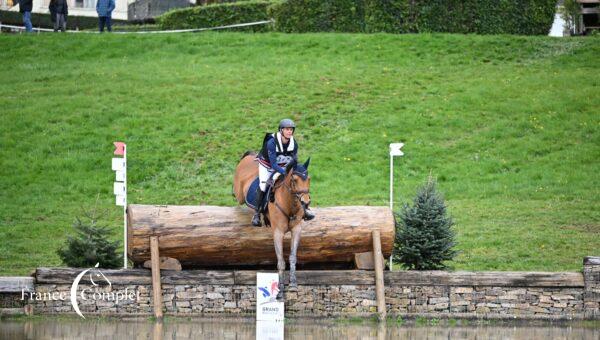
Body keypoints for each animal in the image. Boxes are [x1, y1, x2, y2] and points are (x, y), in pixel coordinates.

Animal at [233, 151, 312, 298]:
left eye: (308, 179)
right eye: (294, 180)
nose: (305, 202)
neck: (290, 204)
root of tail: (249, 156)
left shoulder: (296, 229)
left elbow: (292, 257)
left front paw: (293, 284)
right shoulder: (278, 233)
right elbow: (280, 261)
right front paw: (280, 290)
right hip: (239, 193)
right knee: (237, 197)